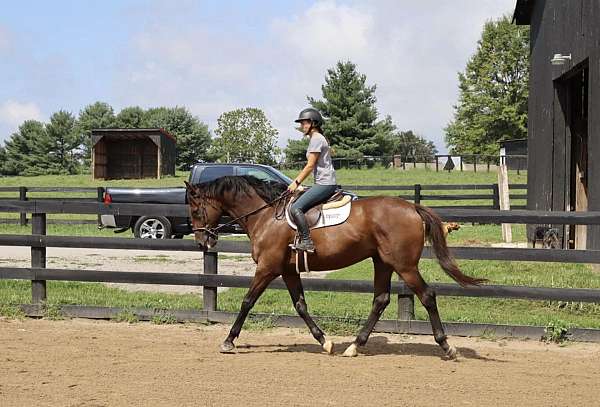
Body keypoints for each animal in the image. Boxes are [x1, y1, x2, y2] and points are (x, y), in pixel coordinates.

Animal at [185, 177, 486, 358]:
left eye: (196, 210)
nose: (202, 241)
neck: (267, 216)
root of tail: (412, 207)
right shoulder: (288, 271)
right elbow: (300, 305)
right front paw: (324, 341)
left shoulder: (268, 268)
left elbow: (247, 301)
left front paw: (228, 341)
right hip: (383, 262)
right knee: (381, 299)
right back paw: (354, 345)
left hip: (404, 265)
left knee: (427, 296)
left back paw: (446, 346)